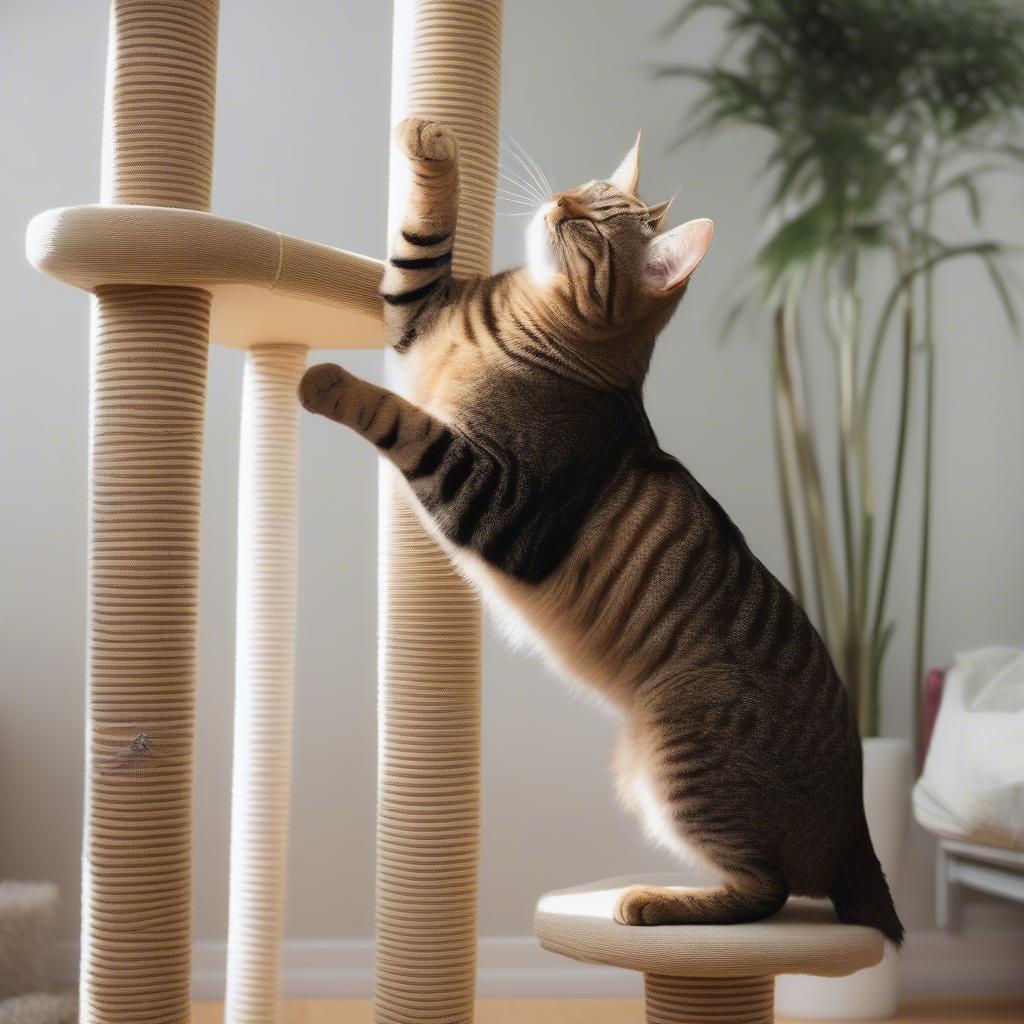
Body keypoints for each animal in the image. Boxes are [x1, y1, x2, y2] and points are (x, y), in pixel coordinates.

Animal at [299, 117, 905, 942]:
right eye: (586, 188)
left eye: (590, 224)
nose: (558, 201)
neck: (524, 317)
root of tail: (859, 830)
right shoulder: (417, 315)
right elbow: (420, 248)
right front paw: (432, 143)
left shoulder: (497, 500)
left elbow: (403, 417)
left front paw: (325, 380)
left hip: (677, 754)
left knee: (768, 892)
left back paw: (649, 902)